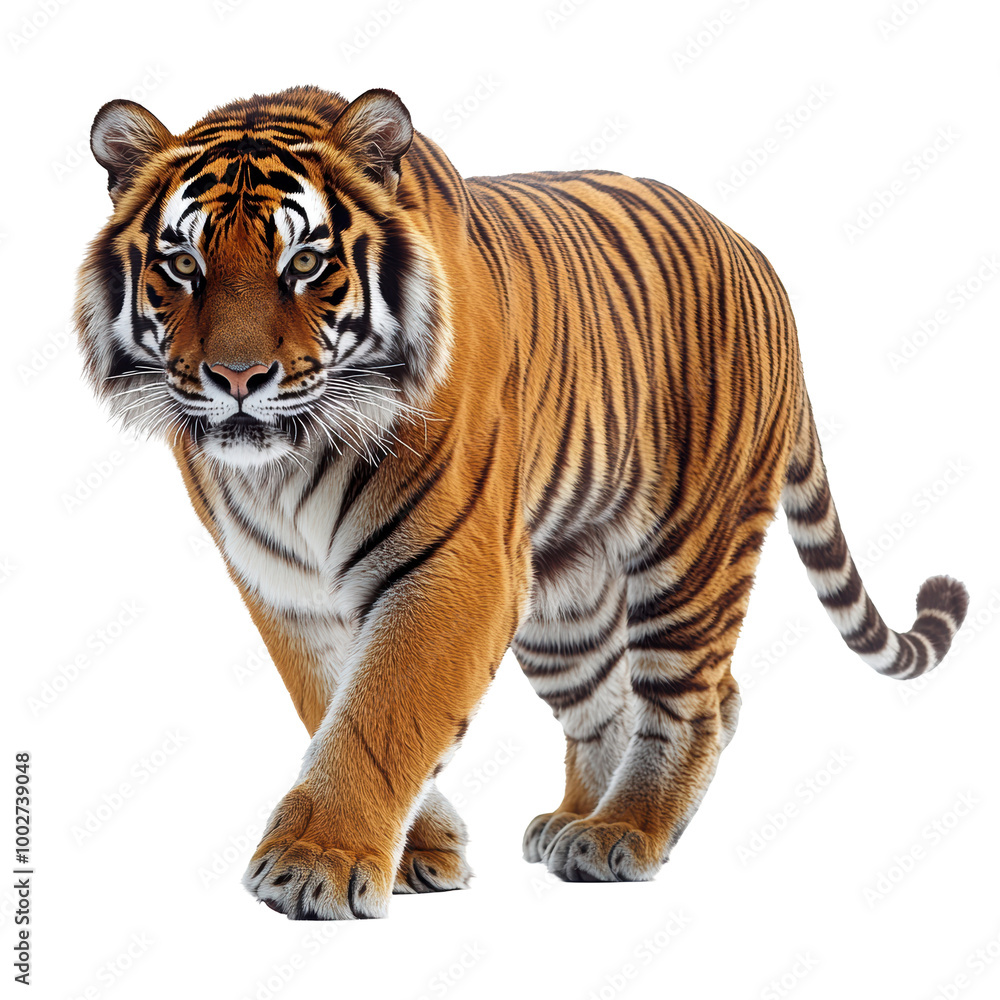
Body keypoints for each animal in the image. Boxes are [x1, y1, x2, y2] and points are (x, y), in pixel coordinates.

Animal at [75, 85, 969, 920]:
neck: (285, 467)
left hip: (691, 551)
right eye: (183, 265)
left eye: (303, 263)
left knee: (702, 699)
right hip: (564, 590)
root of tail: (757, 258)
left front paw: (314, 863)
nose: (236, 378)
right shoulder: (283, 587)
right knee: (609, 702)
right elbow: (333, 702)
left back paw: (628, 830)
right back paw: (580, 819)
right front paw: (418, 850)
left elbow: (381, 713)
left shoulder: (455, 567)